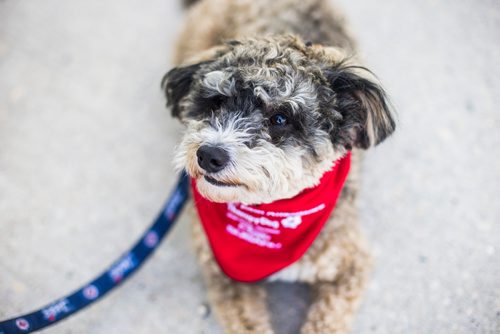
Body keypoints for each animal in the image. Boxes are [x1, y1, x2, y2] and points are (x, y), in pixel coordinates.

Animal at [162, 1, 396, 332]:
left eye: (280, 118)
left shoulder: (351, 265)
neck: (274, 208)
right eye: (217, 102)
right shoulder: (225, 277)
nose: (208, 155)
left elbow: (326, 321)